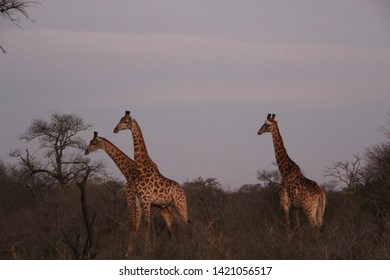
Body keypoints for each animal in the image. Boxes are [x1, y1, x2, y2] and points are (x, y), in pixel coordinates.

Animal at [112, 110, 189, 248]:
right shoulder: (139, 199)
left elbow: (147, 225)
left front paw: (146, 250)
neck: (142, 170)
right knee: (179, 225)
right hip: (170, 205)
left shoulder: (146, 200)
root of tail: (183, 191)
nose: (115, 129)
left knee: (185, 224)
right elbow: (140, 225)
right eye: (120, 119)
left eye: (125, 121)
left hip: (180, 204)